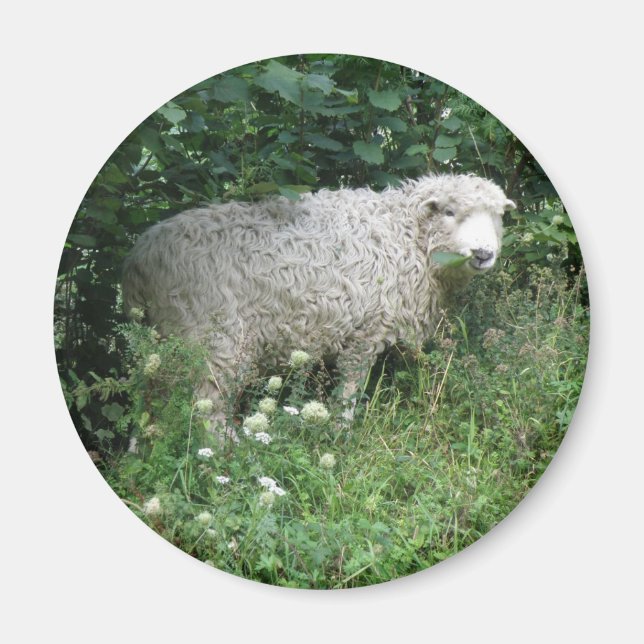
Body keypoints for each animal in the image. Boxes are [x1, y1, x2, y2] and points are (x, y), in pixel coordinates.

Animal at [122, 173, 516, 432]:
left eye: (498, 216)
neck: (404, 234)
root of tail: (140, 259)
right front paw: (341, 435)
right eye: (449, 212)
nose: (483, 254)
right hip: (214, 338)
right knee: (207, 407)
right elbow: (349, 392)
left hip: (161, 341)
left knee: (147, 399)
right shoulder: (365, 332)